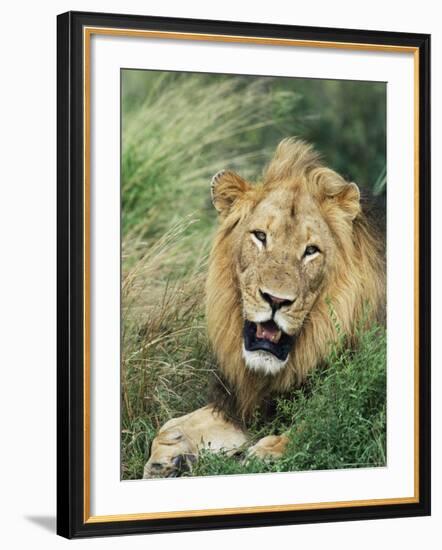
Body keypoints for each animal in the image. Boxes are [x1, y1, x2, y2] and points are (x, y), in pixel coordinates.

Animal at [143, 137, 386, 478]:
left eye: (311, 251)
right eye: (260, 236)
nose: (276, 300)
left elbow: (319, 426)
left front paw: (267, 454)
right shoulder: (247, 403)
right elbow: (170, 426)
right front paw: (168, 458)